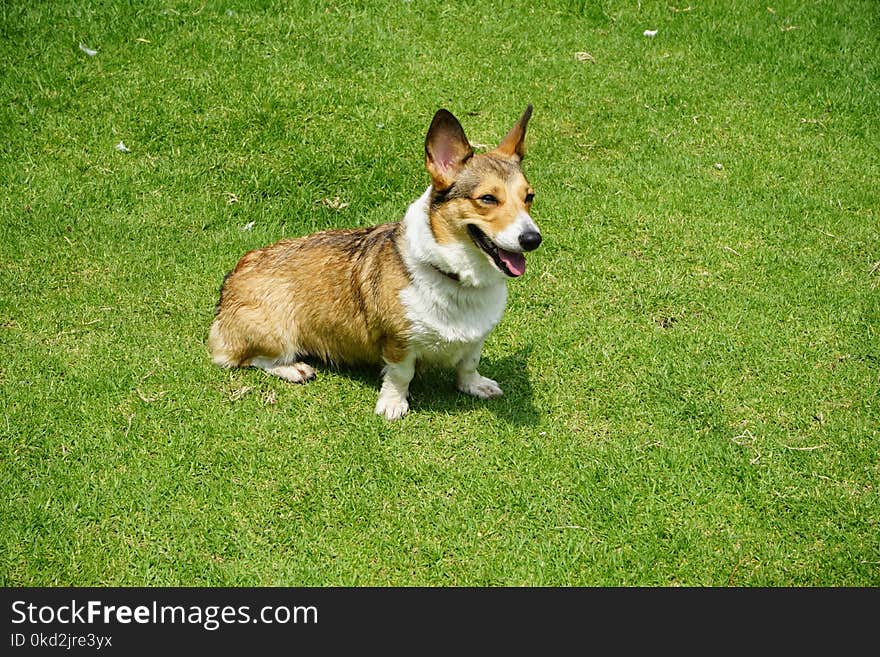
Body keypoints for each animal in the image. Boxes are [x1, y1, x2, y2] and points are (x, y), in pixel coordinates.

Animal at [210, 104, 540, 418]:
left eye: (529, 197)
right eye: (487, 199)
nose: (533, 239)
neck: (456, 278)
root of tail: (232, 279)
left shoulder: (476, 339)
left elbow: (468, 364)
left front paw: (474, 385)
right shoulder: (399, 343)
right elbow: (400, 375)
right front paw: (393, 405)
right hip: (275, 333)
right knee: (242, 358)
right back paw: (293, 368)